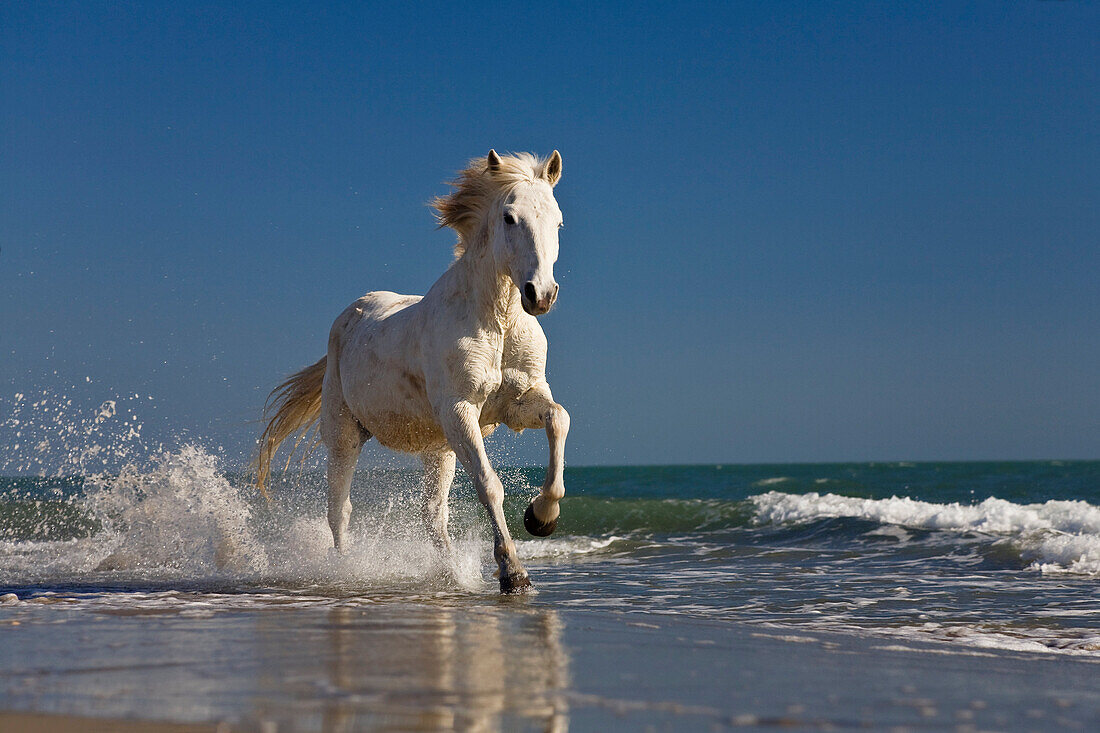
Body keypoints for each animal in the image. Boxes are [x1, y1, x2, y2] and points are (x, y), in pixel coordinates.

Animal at [254, 150, 572, 589]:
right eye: (509, 217)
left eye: (558, 221)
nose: (540, 294)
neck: (498, 321)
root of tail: (351, 314)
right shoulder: (460, 411)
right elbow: (490, 486)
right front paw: (514, 572)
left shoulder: (520, 401)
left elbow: (559, 418)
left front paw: (542, 517)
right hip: (345, 436)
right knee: (340, 510)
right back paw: (344, 570)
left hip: (439, 448)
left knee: (432, 515)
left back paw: (448, 574)